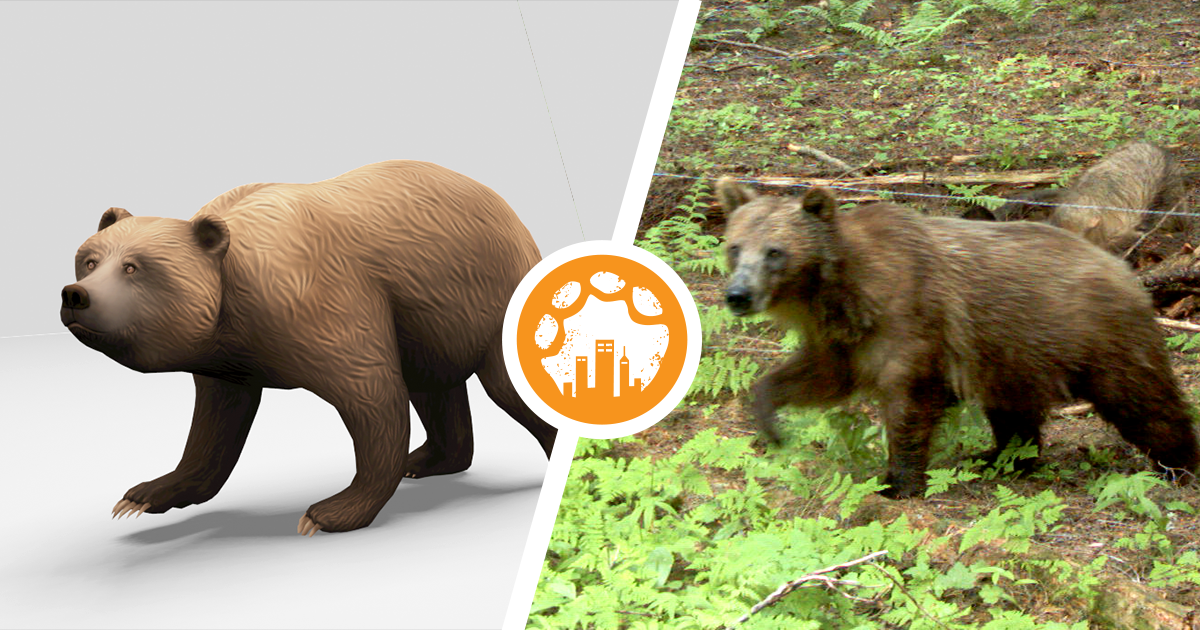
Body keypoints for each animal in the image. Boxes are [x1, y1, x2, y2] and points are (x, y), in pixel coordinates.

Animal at [60, 160, 557, 534]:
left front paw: (329, 512)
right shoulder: (229, 360)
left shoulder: (326, 308)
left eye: (133, 267)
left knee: (509, 384)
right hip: (430, 320)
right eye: (90, 260)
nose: (76, 295)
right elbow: (215, 426)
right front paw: (143, 494)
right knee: (433, 385)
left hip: (488, 291)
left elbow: (373, 399)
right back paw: (427, 459)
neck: (236, 304)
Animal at [717, 178, 1199, 498]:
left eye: (775, 251)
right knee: (1013, 412)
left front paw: (897, 481)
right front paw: (769, 420)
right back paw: (1001, 458)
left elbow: (910, 403)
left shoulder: (914, 321)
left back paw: (1177, 464)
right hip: (1013, 355)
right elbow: (816, 378)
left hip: (1091, 335)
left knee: (1141, 401)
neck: (845, 294)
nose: (737, 295)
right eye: (735, 246)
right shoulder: (842, 341)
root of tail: (1123, 267)